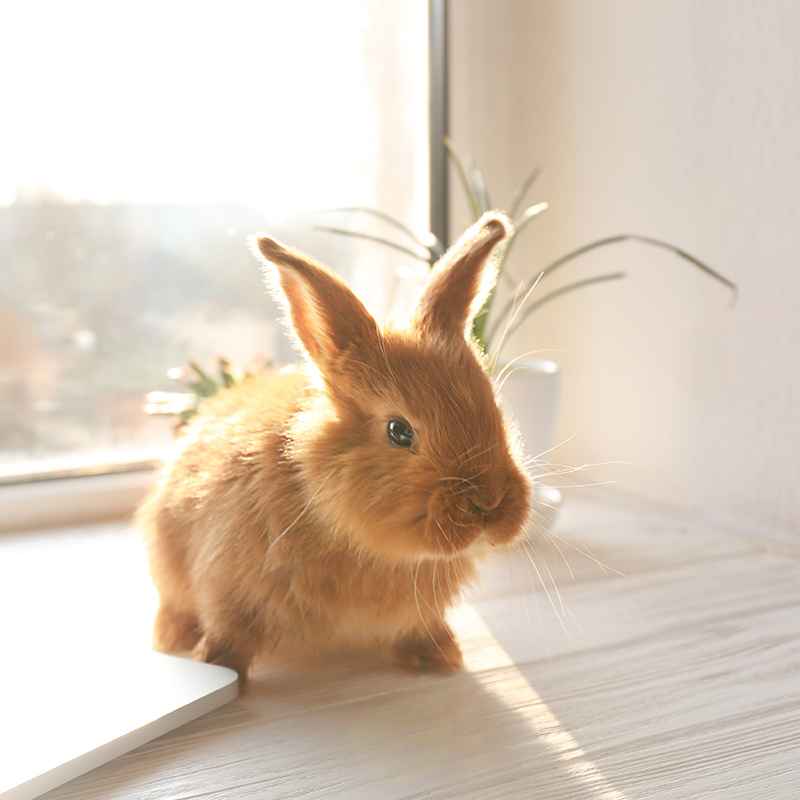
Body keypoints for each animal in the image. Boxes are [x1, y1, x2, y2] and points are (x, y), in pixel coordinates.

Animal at [136, 211, 531, 682]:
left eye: (494, 409)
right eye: (399, 431)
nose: (489, 503)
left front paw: (440, 658)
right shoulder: (226, 586)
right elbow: (229, 630)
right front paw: (222, 669)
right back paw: (171, 639)